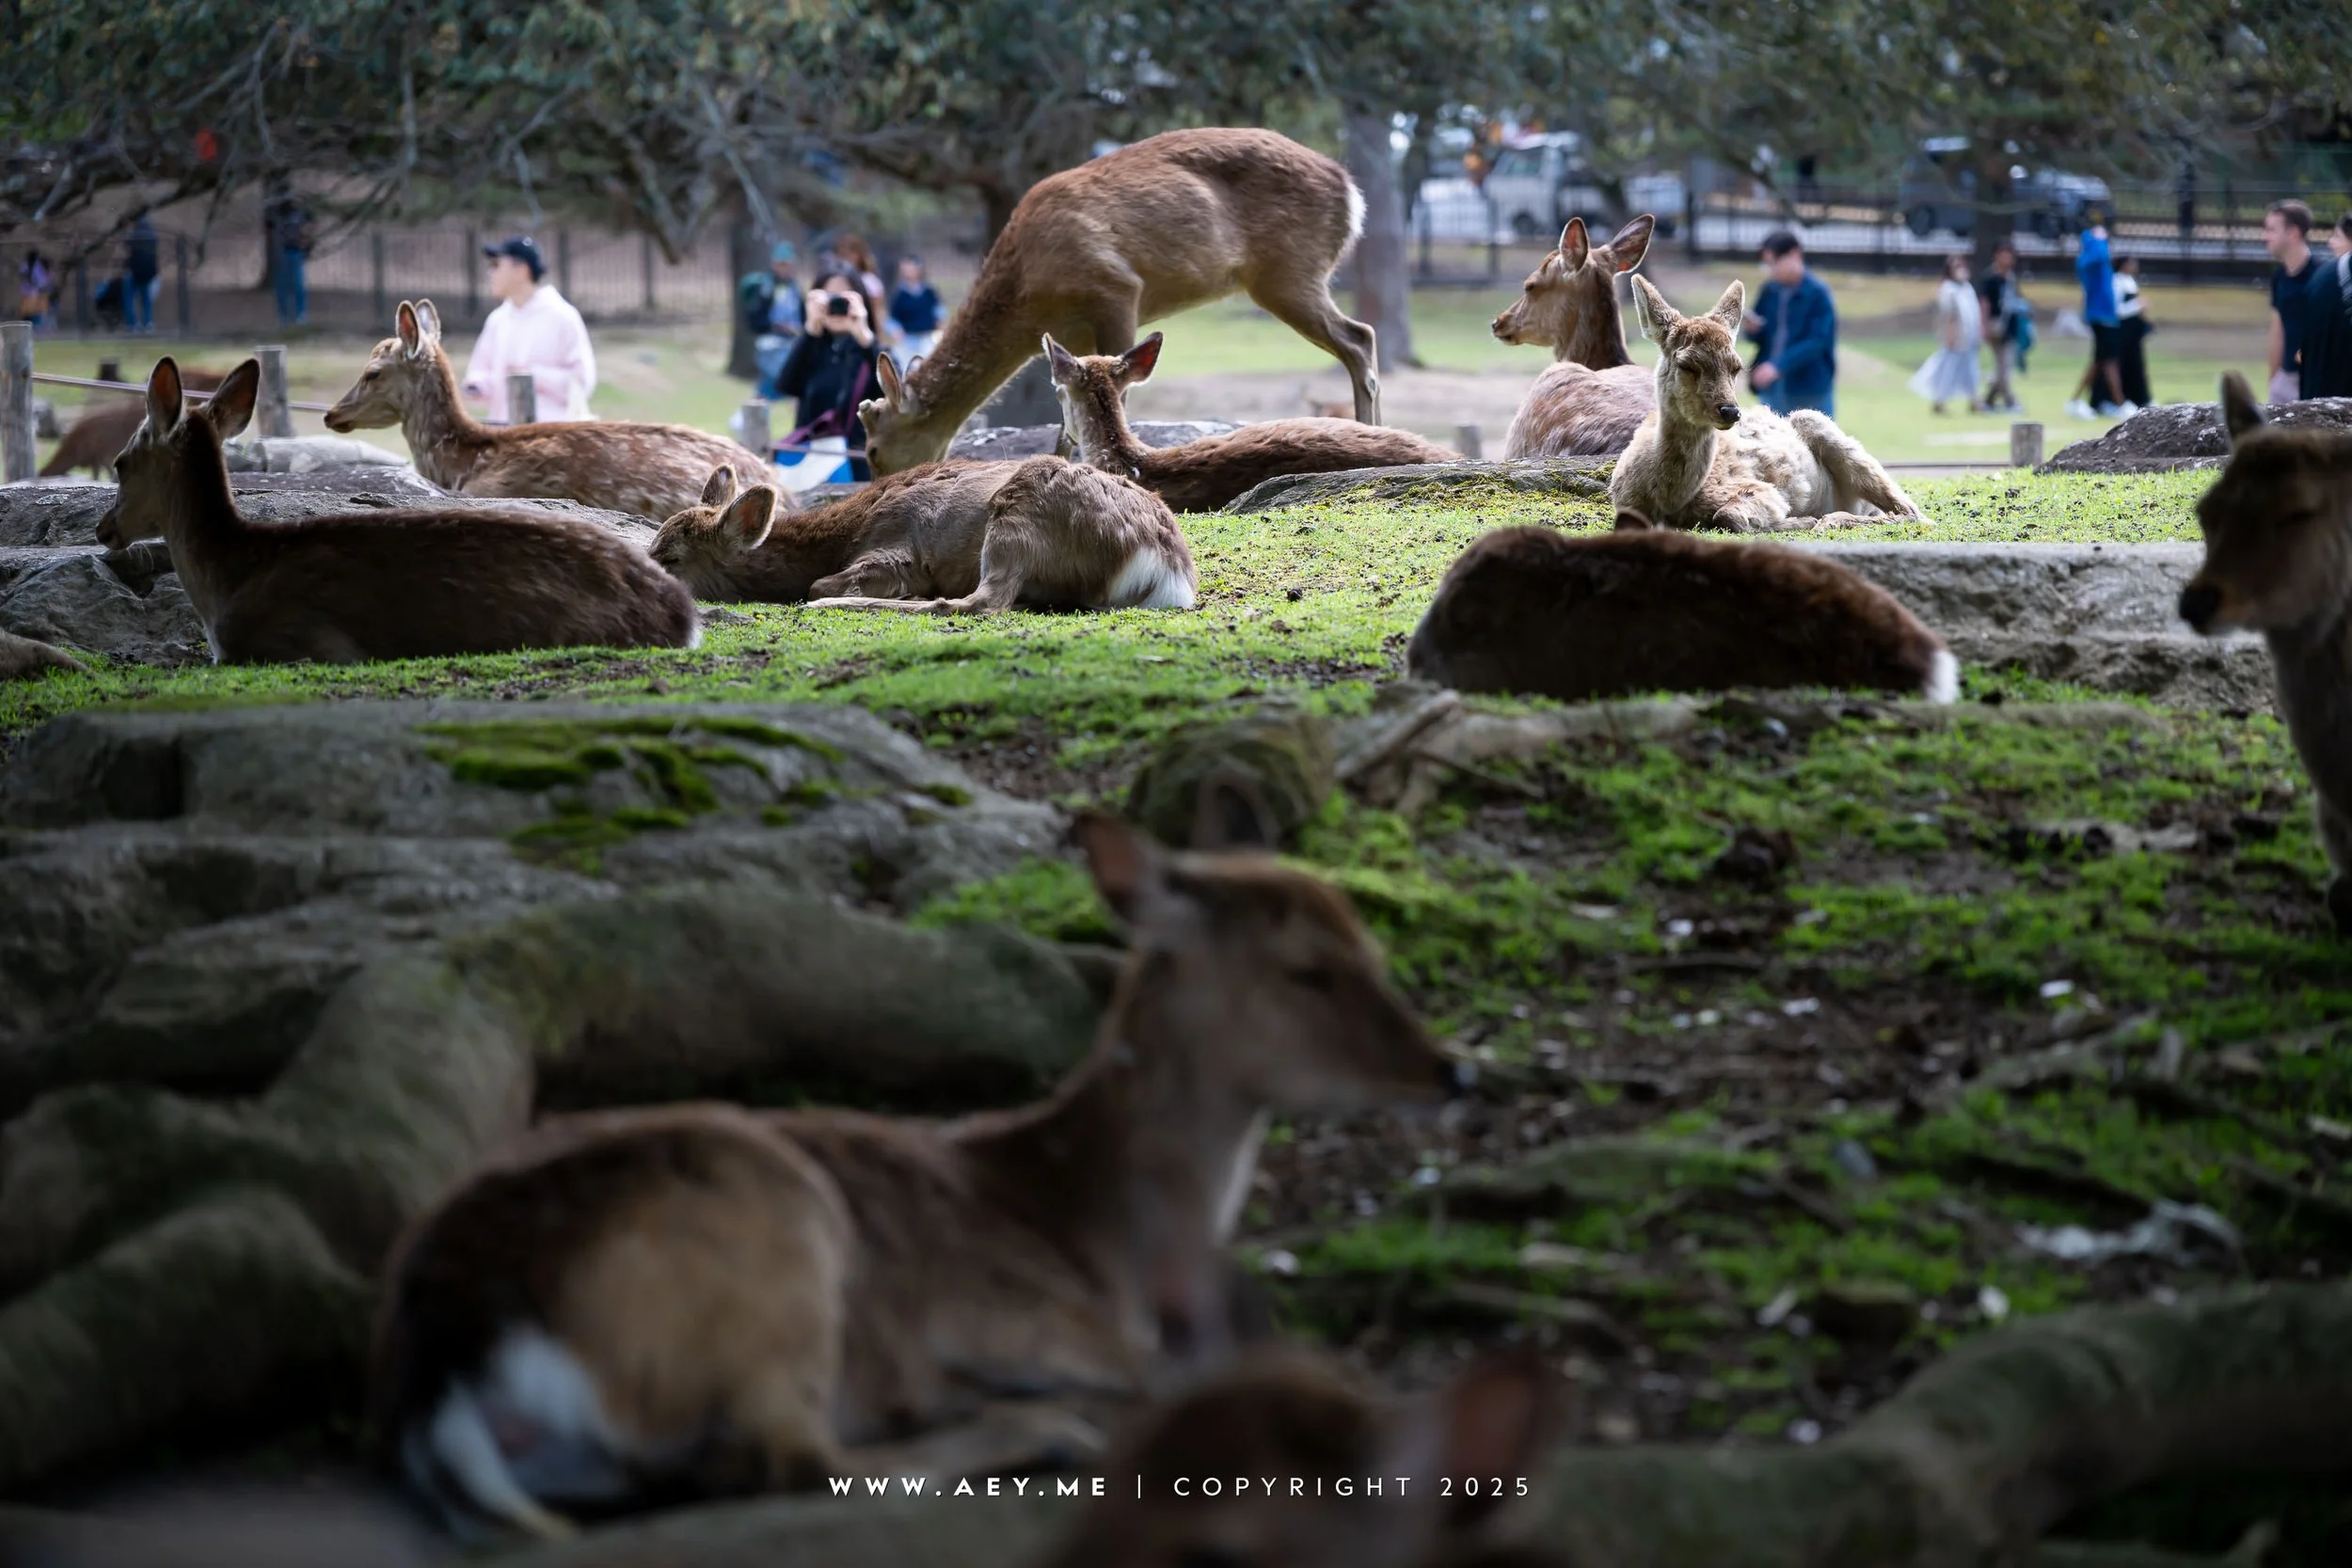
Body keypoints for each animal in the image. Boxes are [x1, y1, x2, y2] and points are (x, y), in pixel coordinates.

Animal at [372, 815, 1462, 1539]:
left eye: (1370, 941)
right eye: (1305, 967)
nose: (1452, 1068)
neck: (1101, 1234)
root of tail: (449, 1355)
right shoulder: (1003, 1316)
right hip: (776, 1228)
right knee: (792, 1457)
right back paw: (1043, 1429)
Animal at [857, 128, 1381, 476]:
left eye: (872, 450)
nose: (885, 488)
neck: (1028, 293)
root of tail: (1352, 194)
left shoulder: (1115, 288)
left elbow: (1119, 389)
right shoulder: (1067, 331)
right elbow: (1066, 415)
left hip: (1288, 271)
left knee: (1359, 337)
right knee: (1361, 336)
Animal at [1609, 277, 1918, 533]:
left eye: (1737, 367)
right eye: (1687, 365)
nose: (1730, 410)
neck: (1667, 500)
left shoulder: (1759, 489)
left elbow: (1729, 516)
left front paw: (1802, 521)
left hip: (1818, 422)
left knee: (1911, 511)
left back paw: (1830, 520)